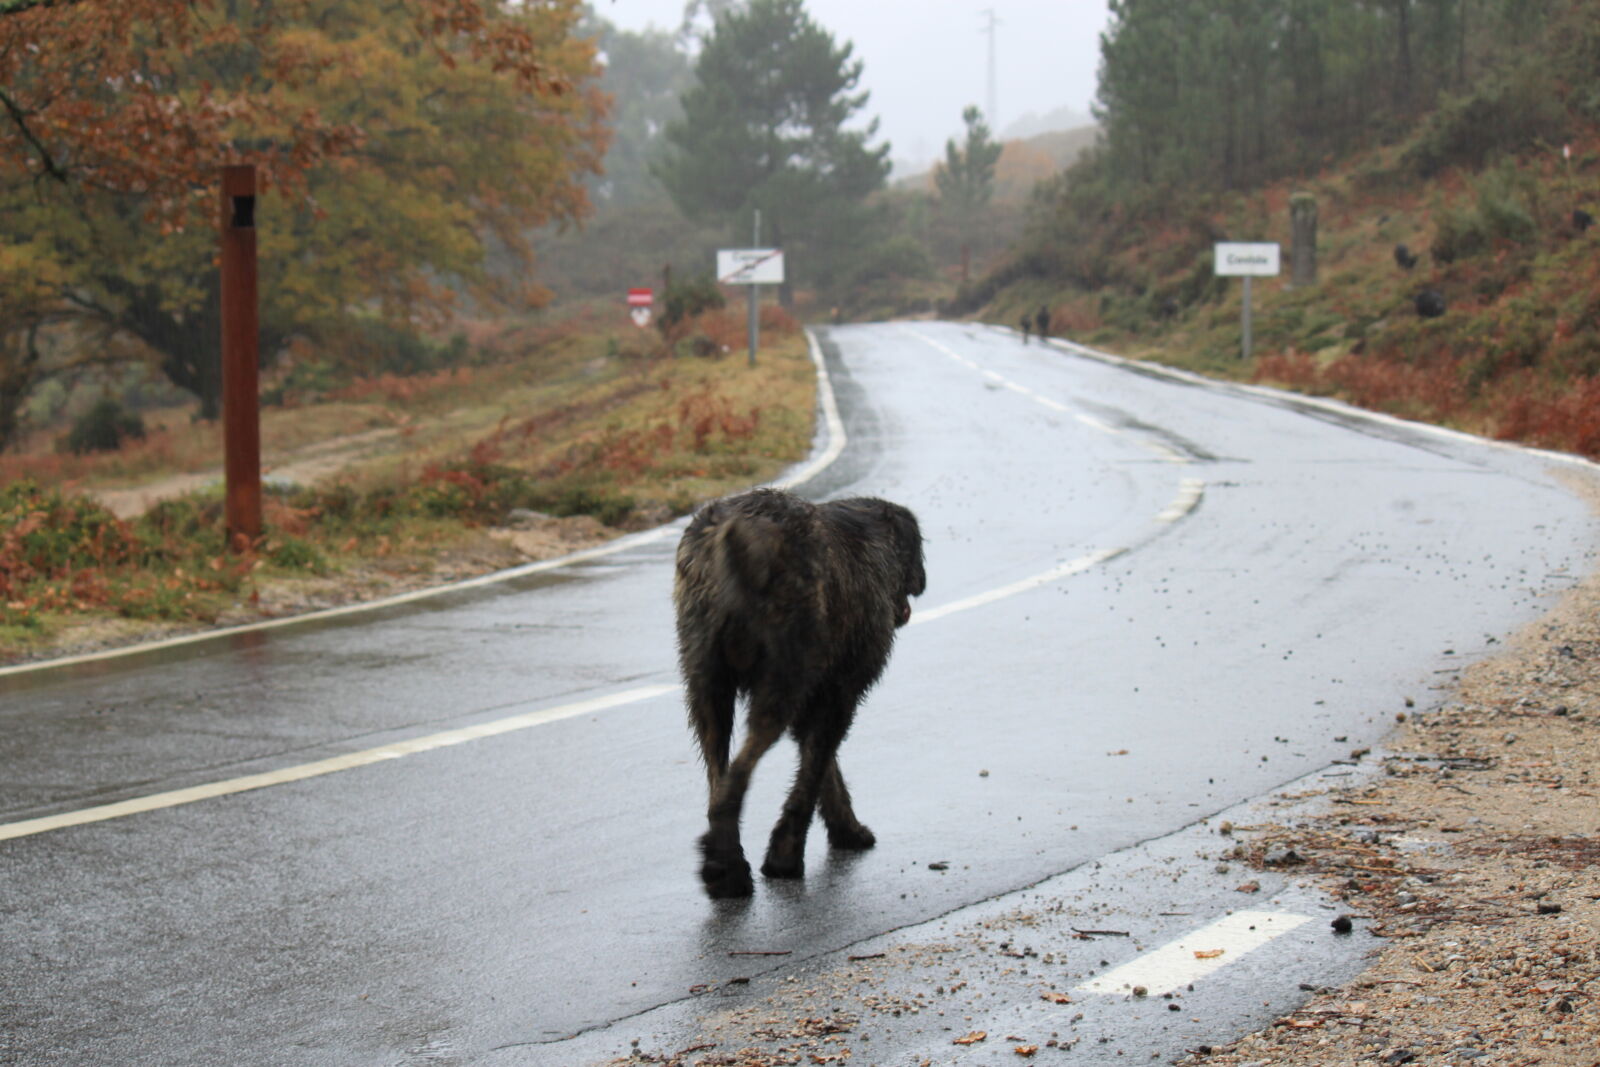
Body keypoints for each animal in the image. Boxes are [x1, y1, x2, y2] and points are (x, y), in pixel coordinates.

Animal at [672, 489, 928, 895]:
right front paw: (786, 855)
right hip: (781, 680)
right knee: (736, 777)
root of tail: (732, 535)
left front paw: (845, 828)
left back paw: (725, 861)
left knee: (718, 771)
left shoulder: (821, 693)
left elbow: (821, 766)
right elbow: (814, 769)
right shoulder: (840, 691)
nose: (922, 580)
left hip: (706, 684)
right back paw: (729, 866)